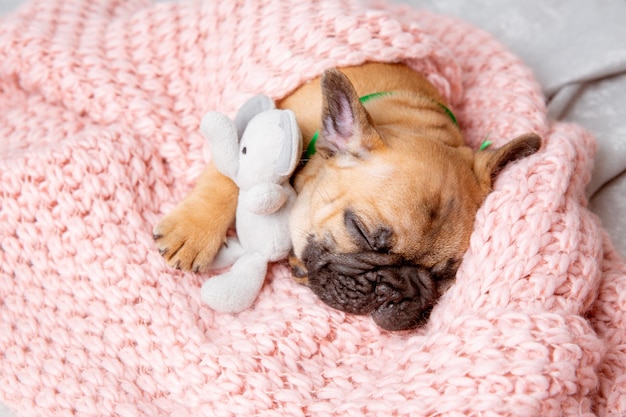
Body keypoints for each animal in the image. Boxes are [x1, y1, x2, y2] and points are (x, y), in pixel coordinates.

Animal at [154, 61, 540, 330]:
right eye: (360, 232)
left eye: (446, 276)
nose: (392, 289)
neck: (402, 111)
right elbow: (228, 174)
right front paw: (192, 232)